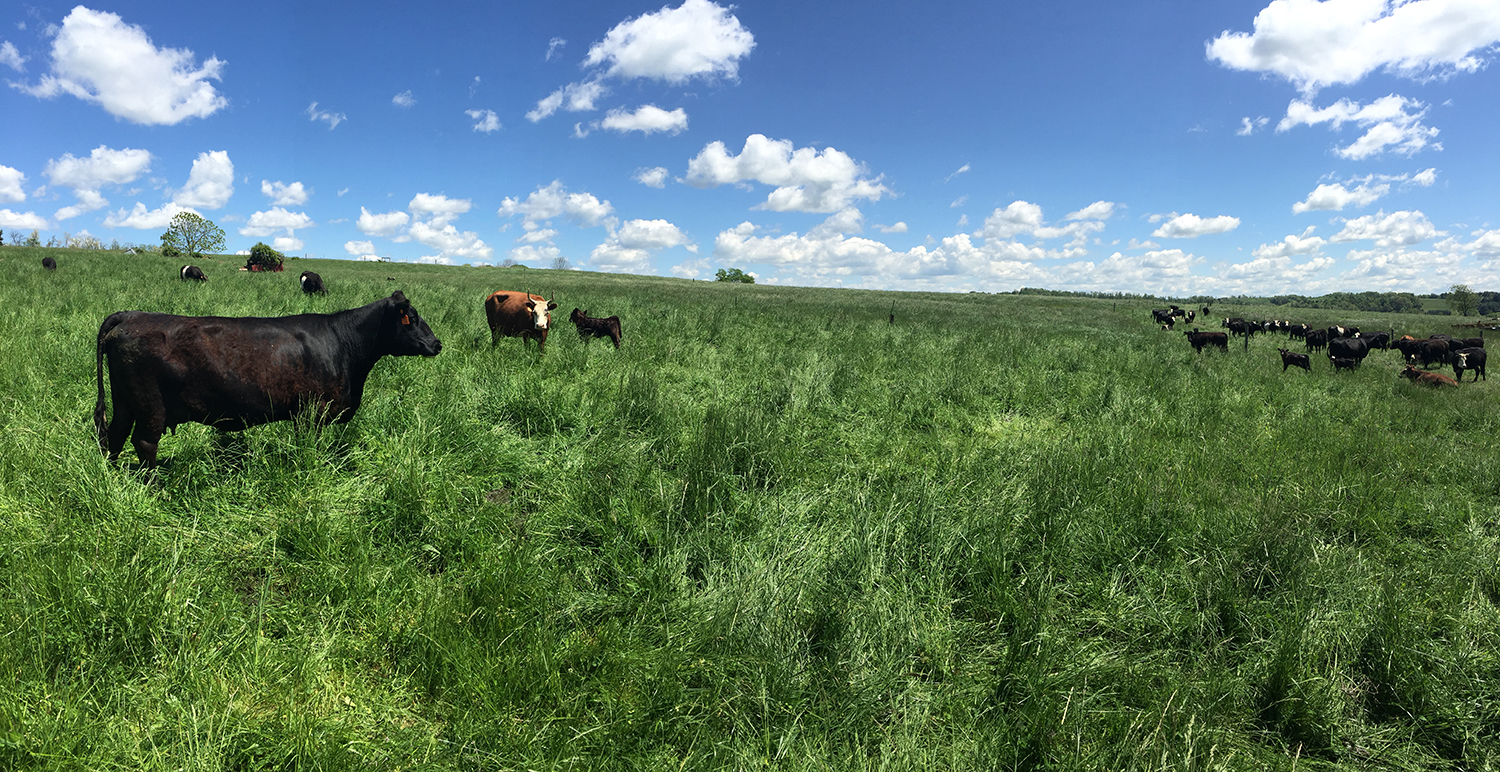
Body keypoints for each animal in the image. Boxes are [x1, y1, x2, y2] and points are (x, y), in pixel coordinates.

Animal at [94, 290, 438, 467]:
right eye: (412, 318)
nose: (437, 344)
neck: (342, 343)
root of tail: (130, 314)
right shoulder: (311, 414)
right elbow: (309, 451)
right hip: (150, 404)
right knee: (143, 442)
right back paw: (154, 487)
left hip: (125, 399)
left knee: (114, 435)